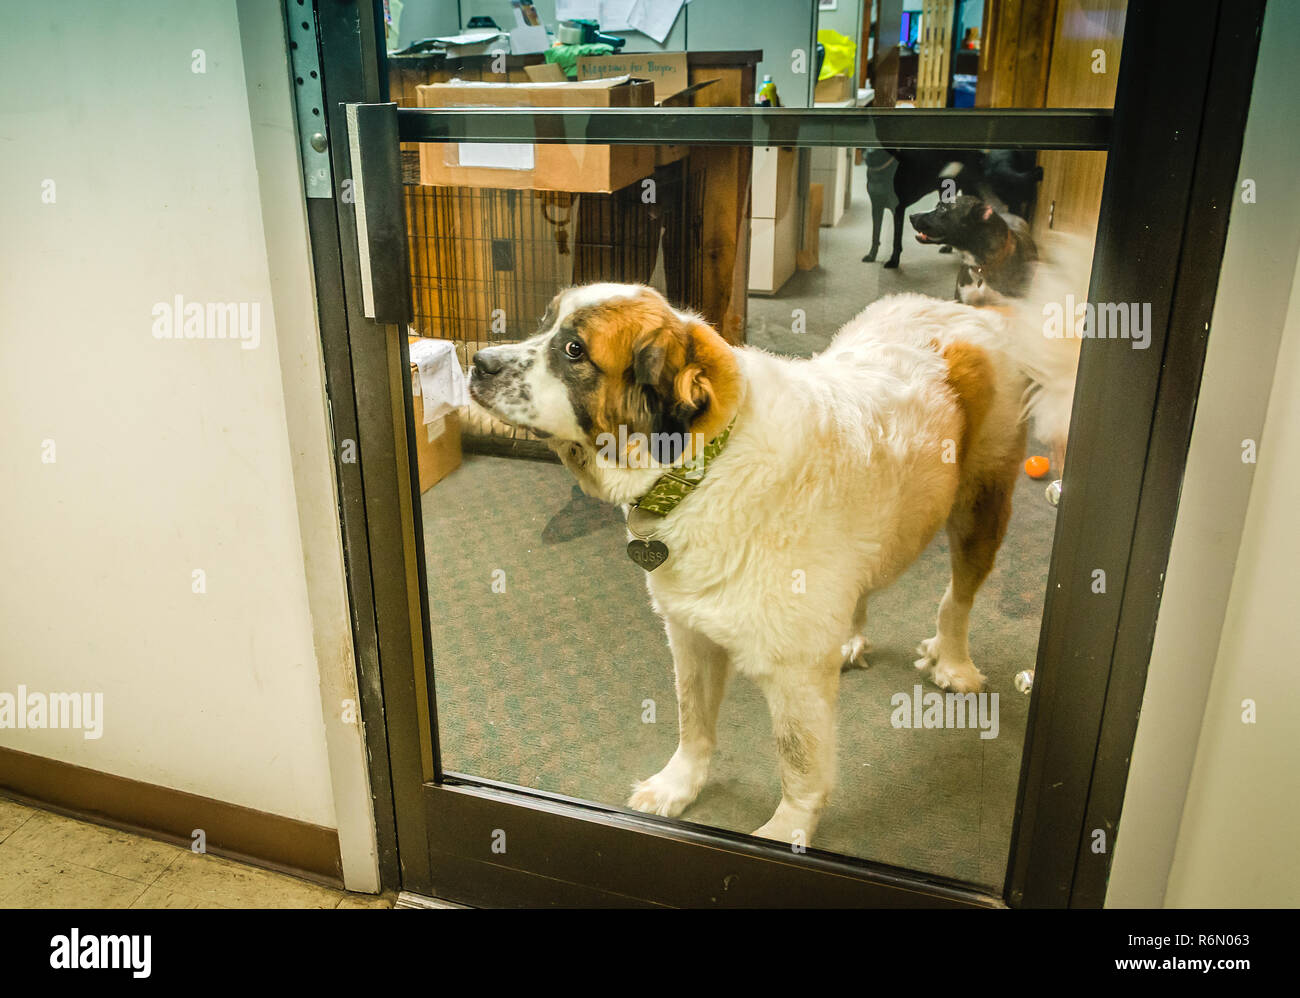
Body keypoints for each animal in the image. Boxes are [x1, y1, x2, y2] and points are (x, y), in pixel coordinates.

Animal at [467, 284, 1066, 847]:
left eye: (574, 350)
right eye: (544, 323)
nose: (479, 362)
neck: (705, 467)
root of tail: (968, 312)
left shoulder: (793, 675)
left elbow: (799, 765)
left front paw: (787, 833)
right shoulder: (689, 635)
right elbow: (693, 721)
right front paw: (679, 785)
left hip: (981, 506)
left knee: (957, 598)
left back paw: (954, 661)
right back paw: (851, 637)